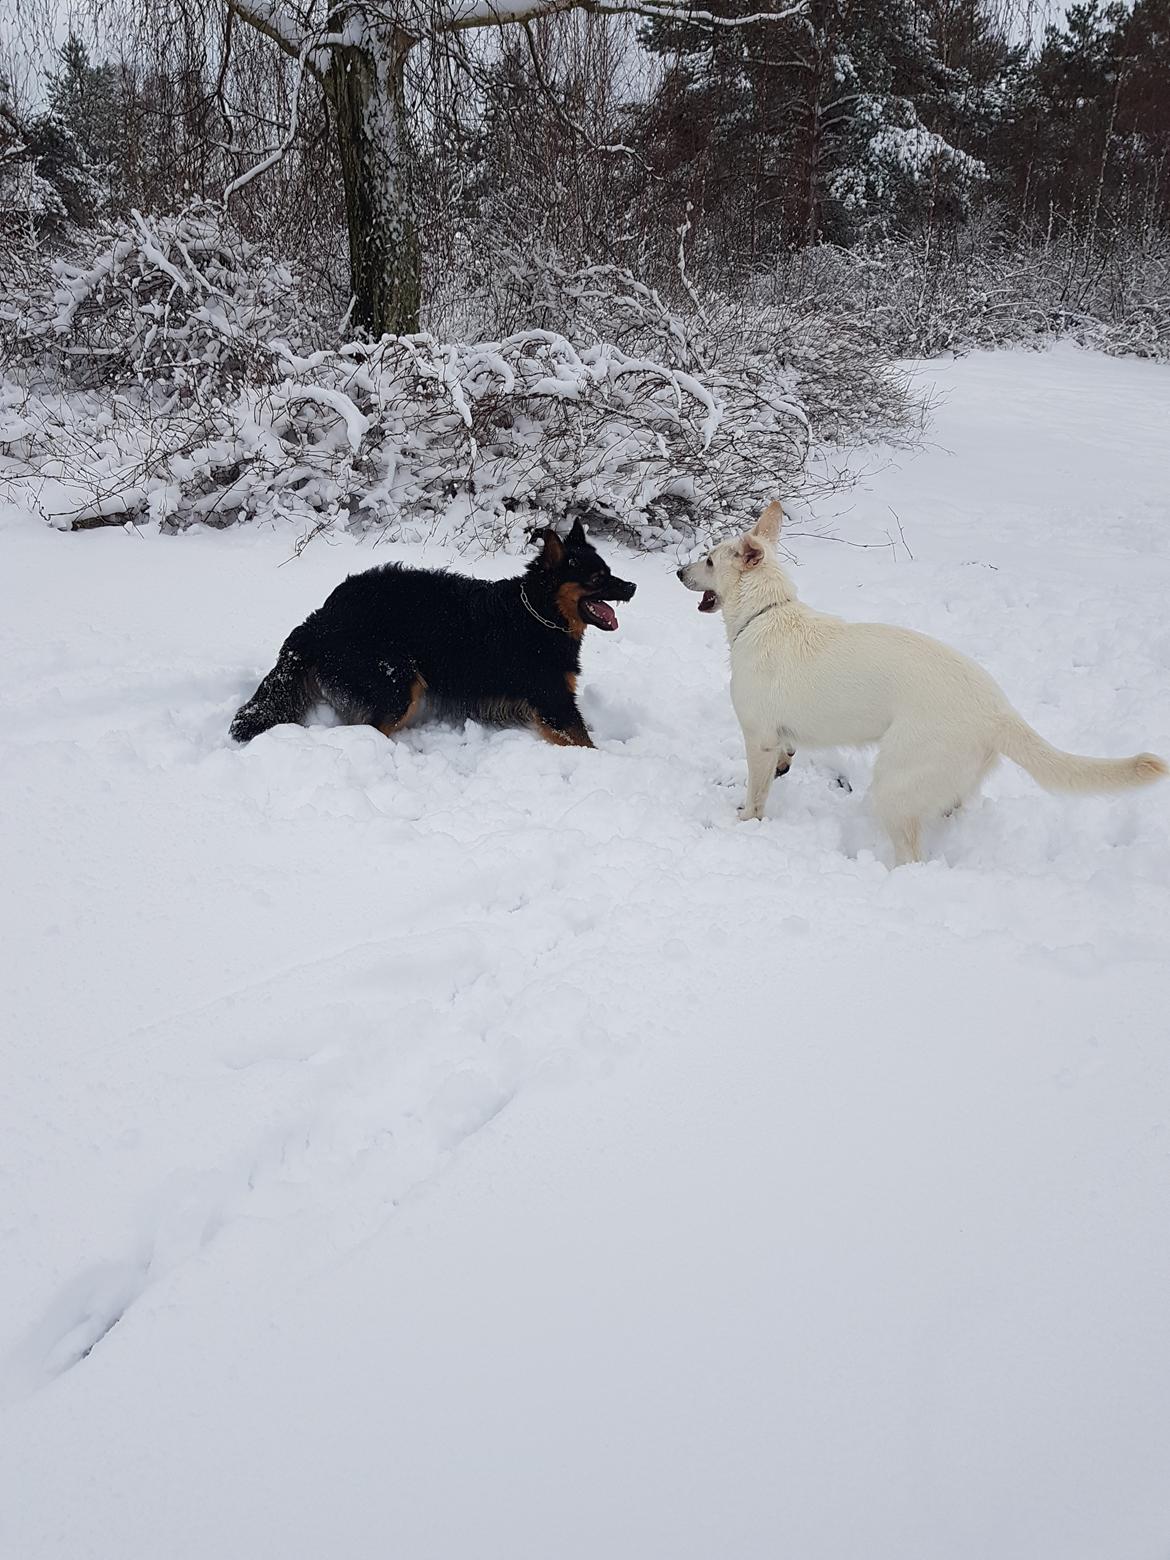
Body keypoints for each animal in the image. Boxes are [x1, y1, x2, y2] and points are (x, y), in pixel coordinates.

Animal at [227, 517, 633, 748]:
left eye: (610, 571)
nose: (632, 587)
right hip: (397, 683)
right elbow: (585, 742)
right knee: (369, 729)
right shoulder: (553, 703)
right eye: (597, 578)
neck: (537, 613)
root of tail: (322, 618)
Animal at [683, 502, 1166, 861]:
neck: (765, 614)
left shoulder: (758, 738)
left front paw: (745, 823)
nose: (677, 573)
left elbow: (756, 795)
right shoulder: (777, 738)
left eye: (708, 559)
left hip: (895, 781)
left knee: (911, 855)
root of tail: (999, 710)